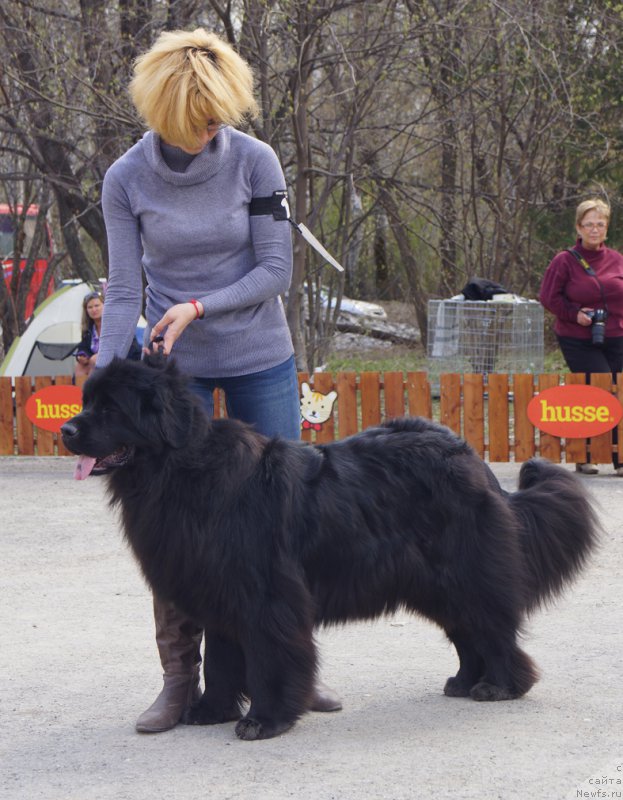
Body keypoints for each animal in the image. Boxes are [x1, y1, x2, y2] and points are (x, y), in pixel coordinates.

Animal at [62, 360, 600, 740]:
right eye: (86, 401)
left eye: (110, 409)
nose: (66, 430)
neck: (182, 471)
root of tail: (471, 457)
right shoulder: (219, 594)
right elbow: (218, 661)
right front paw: (210, 711)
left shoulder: (266, 598)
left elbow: (268, 659)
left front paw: (264, 720)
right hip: (435, 583)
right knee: (468, 632)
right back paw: (465, 682)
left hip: (464, 573)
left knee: (491, 627)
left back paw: (500, 686)